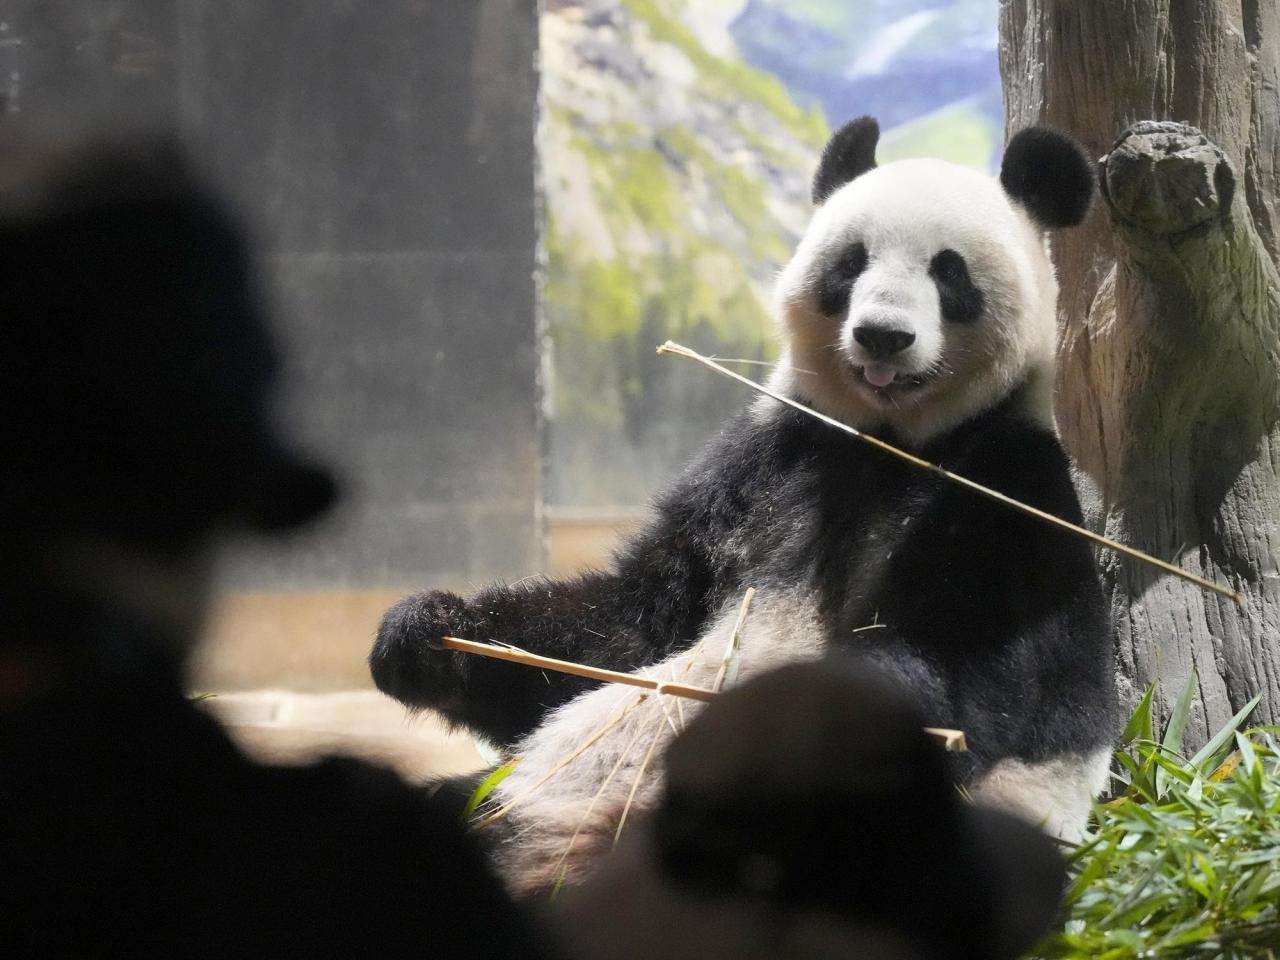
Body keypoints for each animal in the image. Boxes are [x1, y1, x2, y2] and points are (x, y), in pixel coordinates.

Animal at [368, 116, 1111, 901]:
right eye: (851, 263)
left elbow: (970, 684)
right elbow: (623, 632)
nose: (883, 334)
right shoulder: (764, 465)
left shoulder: (1008, 495)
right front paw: (426, 632)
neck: (890, 442)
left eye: (950, 272)